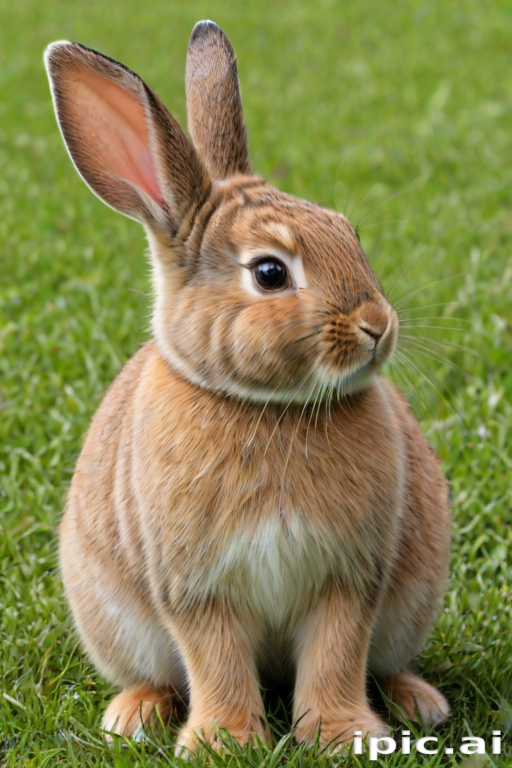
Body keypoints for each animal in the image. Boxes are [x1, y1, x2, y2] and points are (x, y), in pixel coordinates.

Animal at [44, 20, 451, 753]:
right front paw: (225, 742)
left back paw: (420, 703)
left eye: (349, 234)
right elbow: (217, 659)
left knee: (385, 663)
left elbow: (336, 653)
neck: (269, 408)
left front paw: (346, 737)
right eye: (269, 273)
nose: (378, 326)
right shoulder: (195, 588)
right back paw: (133, 716)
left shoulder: (349, 579)